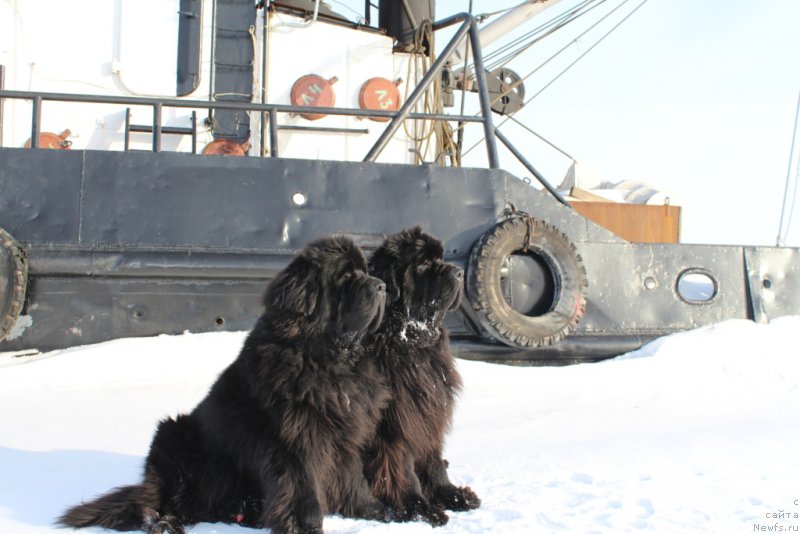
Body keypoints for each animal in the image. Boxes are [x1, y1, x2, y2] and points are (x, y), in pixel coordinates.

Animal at [57, 238, 390, 534]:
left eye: (365, 270)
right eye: (344, 276)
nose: (382, 286)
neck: (326, 357)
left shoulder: (346, 429)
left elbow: (352, 477)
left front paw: (374, 511)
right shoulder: (294, 438)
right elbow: (301, 487)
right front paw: (306, 526)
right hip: (172, 435)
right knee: (155, 503)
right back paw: (163, 524)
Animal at [362, 226, 482, 528]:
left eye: (441, 257)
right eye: (424, 263)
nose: (459, 272)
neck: (413, 342)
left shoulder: (429, 408)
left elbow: (433, 459)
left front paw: (452, 495)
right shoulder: (397, 420)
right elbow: (402, 467)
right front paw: (419, 507)